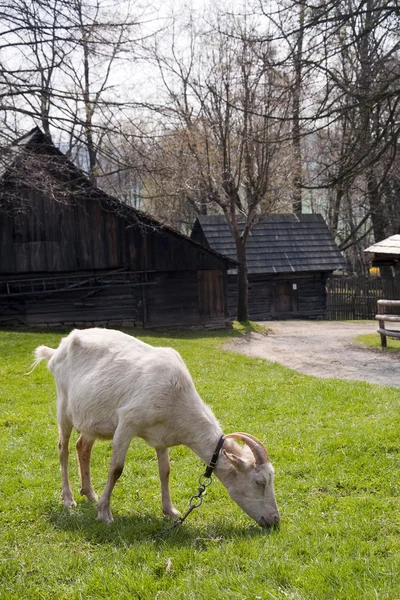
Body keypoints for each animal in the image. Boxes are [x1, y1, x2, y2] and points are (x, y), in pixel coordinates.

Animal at [32, 326, 280, 528]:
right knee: (63, 448)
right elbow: (116, 468)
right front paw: (104, 514)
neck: (177, 397)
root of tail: (57, 350)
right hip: (64, 406)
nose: (275, 521)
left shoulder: (162, 437)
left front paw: (170, 511)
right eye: (259, 482)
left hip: (90, 417)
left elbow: (165, 471)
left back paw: (90, 493)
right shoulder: (127, 421)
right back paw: (69, 499)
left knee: (82, 446)